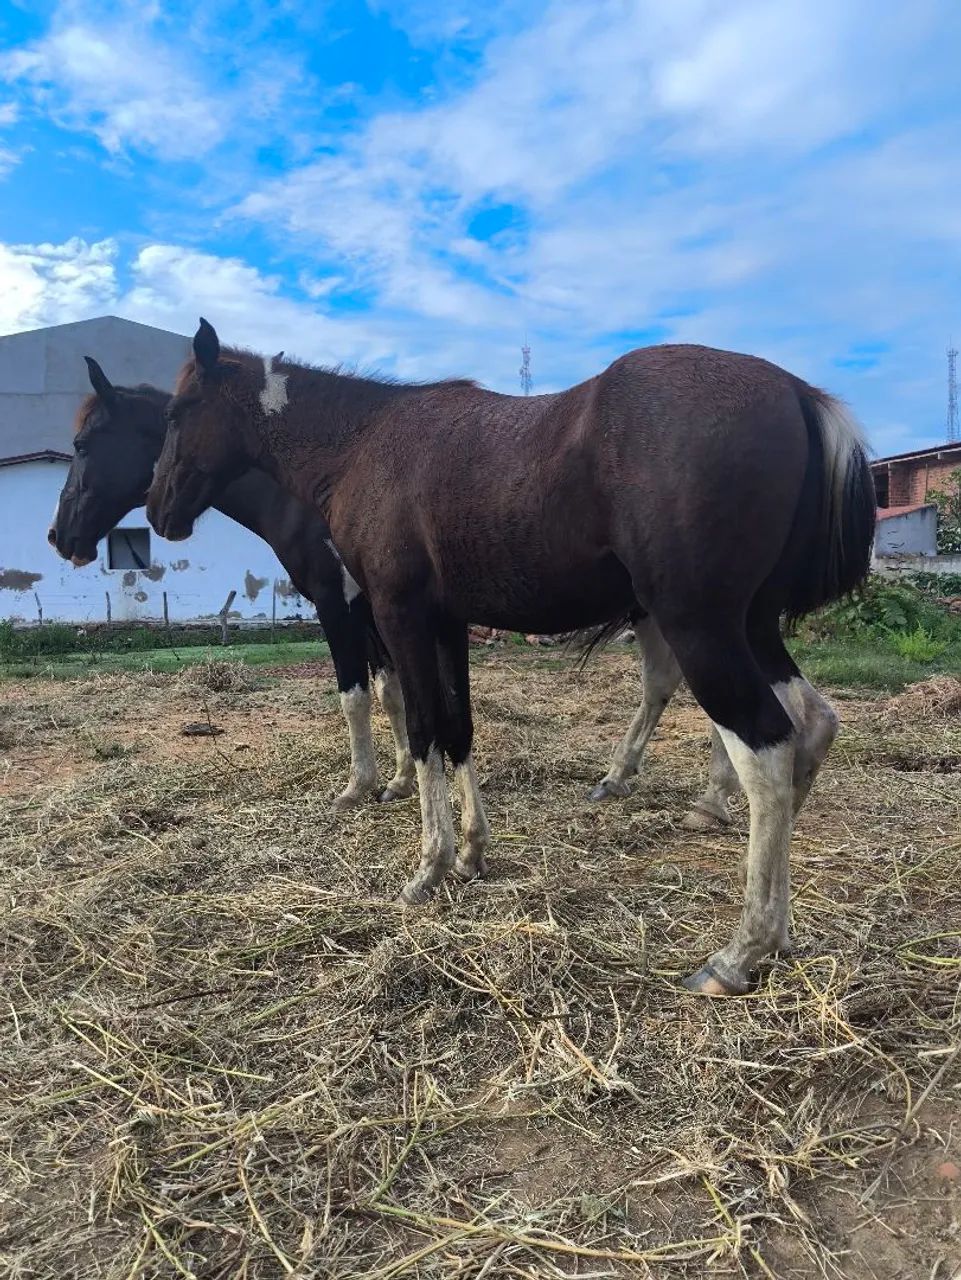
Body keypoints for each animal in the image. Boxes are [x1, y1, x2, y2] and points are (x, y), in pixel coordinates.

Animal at [48, 357, 416, 810]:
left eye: (82, 444)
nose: (58, 535)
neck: (300, 497)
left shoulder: (336, 602)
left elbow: (355, 696)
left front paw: (357, 786)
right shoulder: (365, 608)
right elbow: (390, 691)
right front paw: (399, 781)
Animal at [147, 320, 875, 996]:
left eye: (178, 413)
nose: (158, 511)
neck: (364, 442)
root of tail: (797, 393)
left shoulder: (399, 616)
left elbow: (422, 730)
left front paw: (429, 868)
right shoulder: (447, 623)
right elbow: (458, 729)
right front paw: (471, 853)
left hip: (700, 627)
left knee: (766, 749)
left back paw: (739, 951)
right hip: (750, 626)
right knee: (812, 723)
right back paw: (778, 934)